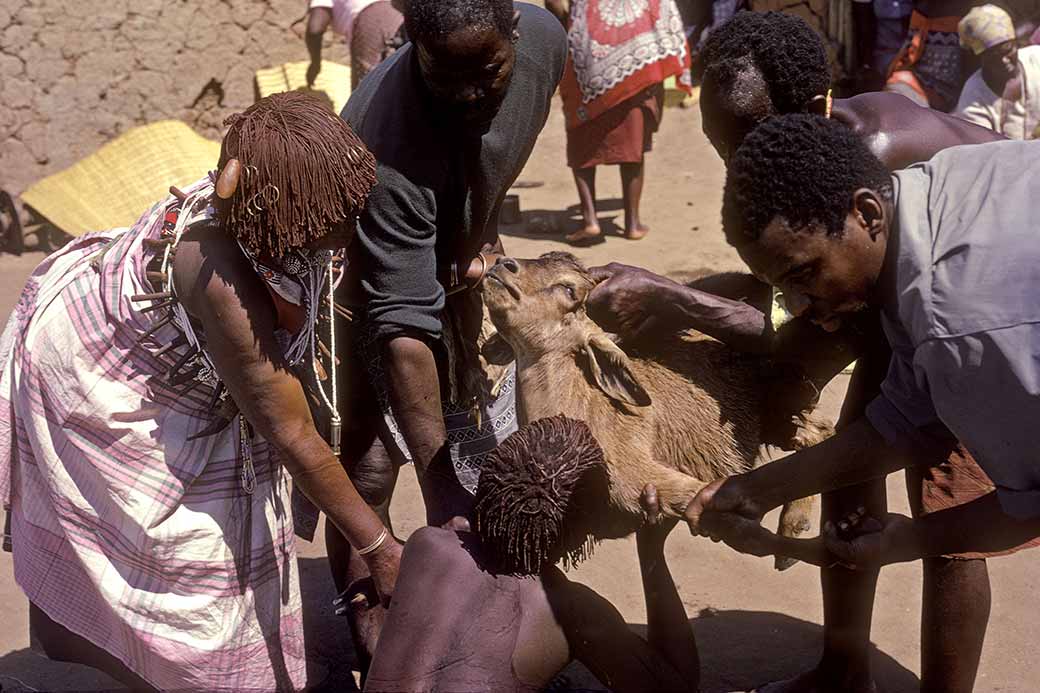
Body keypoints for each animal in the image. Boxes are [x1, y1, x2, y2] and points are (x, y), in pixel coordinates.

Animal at [476, 250, 827, 557]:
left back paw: (794, 526)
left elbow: (738, 525)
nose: (502, 264)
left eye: (568, 288)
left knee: (819, 432)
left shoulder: (654, 477)